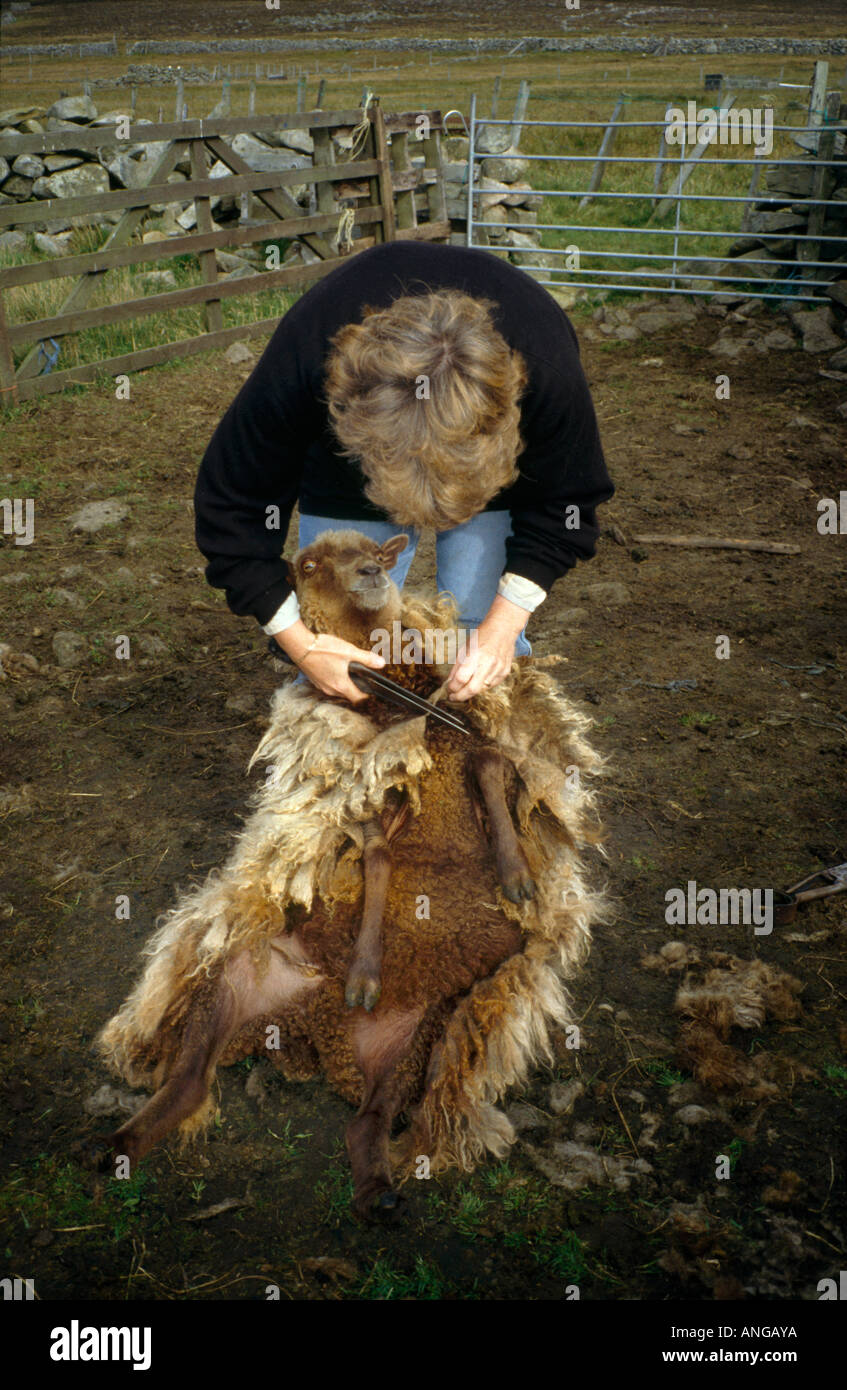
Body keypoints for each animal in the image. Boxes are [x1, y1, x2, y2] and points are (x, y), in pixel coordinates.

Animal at [95, 530, 603, 1217]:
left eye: (375, 552)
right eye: (309, 564)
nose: (368, 572)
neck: (398, 700)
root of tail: (316, 1029)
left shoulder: (469, 743)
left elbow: (493, 764)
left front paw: (517, 876)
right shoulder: (371, 804)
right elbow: (381, 862)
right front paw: (364, 973)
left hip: (415, 1042)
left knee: (360, 1122)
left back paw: (378, 1194)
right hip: (233, 977)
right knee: (193, 1082)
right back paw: (116, 1147)